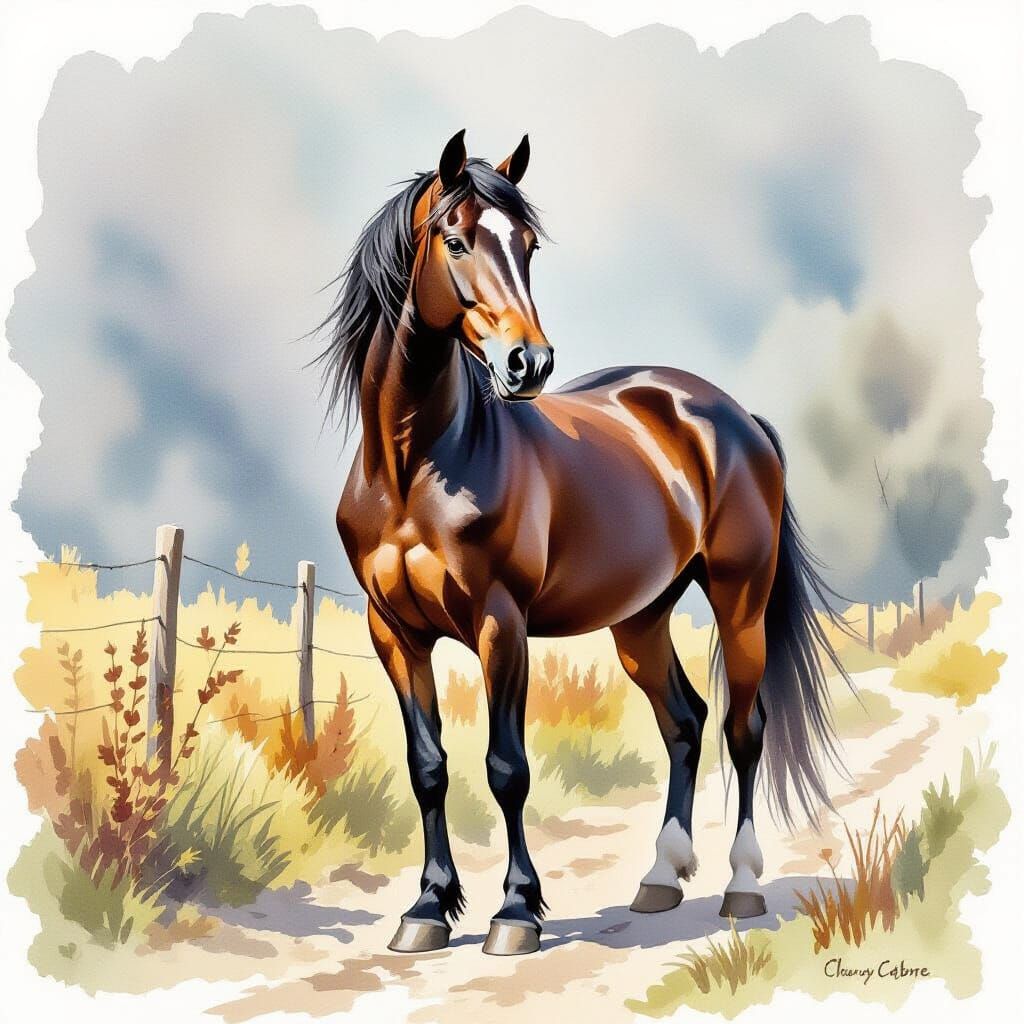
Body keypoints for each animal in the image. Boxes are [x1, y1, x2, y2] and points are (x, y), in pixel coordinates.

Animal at [317, 130, 848, 956]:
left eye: (528, 245)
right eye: (455, 239)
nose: (528, 364)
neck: (415, 469)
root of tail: (731, 414)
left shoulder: (500, 624)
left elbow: (507, 767)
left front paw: (515, 912)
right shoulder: (394, 631)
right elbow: (427, 767)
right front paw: (428, 909)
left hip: (742, 601)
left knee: (743, 728)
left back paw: (742, 886)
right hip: (641, 618)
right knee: (685, 722)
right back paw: (660, 879)